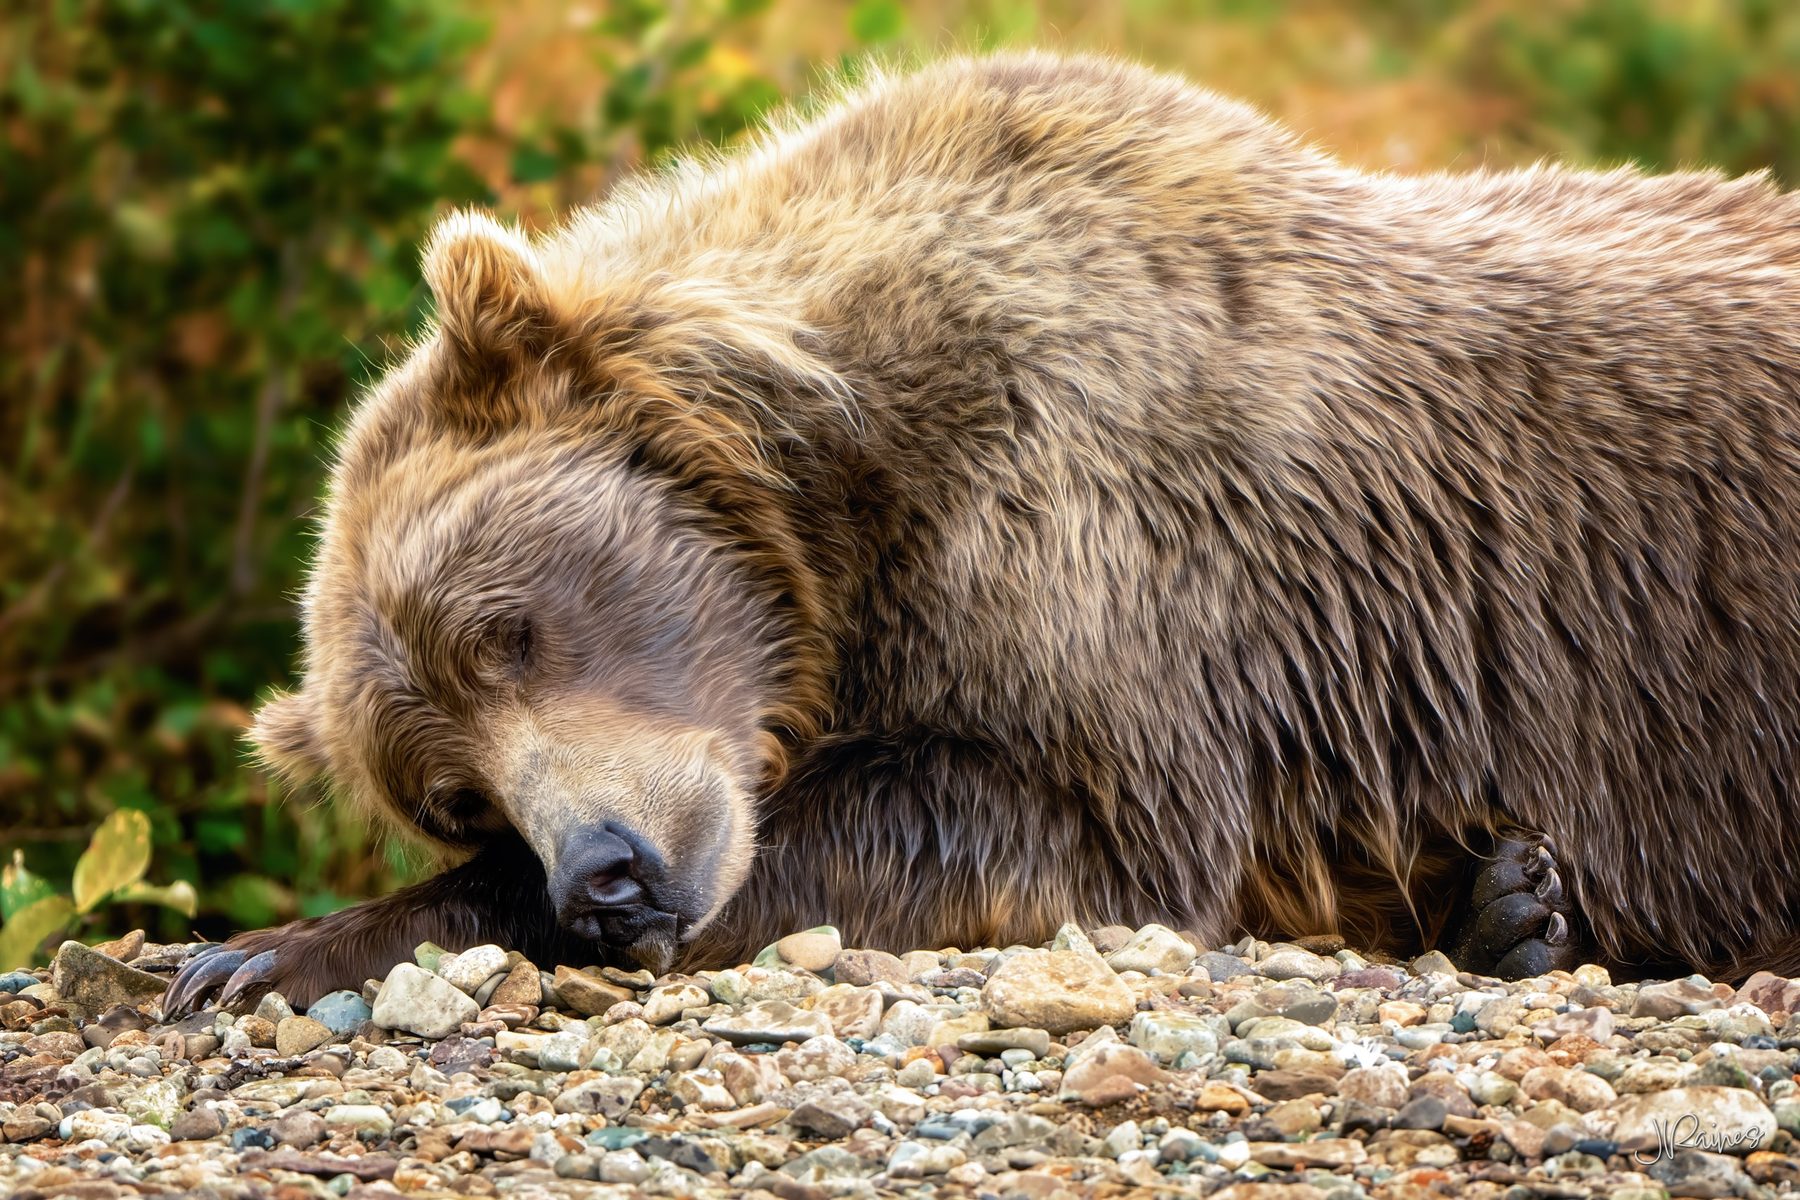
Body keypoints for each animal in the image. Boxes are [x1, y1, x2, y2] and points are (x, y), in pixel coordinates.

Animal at [168, 50, 1800, 1014]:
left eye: (509, 626)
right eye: (452, 790)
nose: (607, 876)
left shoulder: (1118, 544)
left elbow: (1049, 817)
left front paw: (259, 951)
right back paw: (1515, 908)